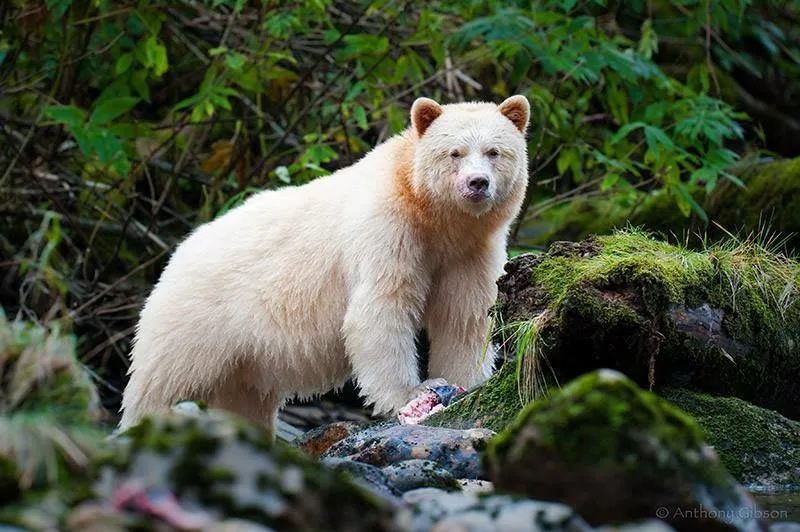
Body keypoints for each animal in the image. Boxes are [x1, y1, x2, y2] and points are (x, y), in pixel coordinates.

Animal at [119, 94, 531, 435]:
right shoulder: (388, 232)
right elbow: (380, 310)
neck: (433, 217)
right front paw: (412, 394)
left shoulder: (470, 251)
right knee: (162, 385)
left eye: (494, 152)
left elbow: (465, 315)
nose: (477, 183)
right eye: (454, 153)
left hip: (243, 356)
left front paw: (467, 383)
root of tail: (180, 250)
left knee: (244, 399)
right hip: (197, 321)